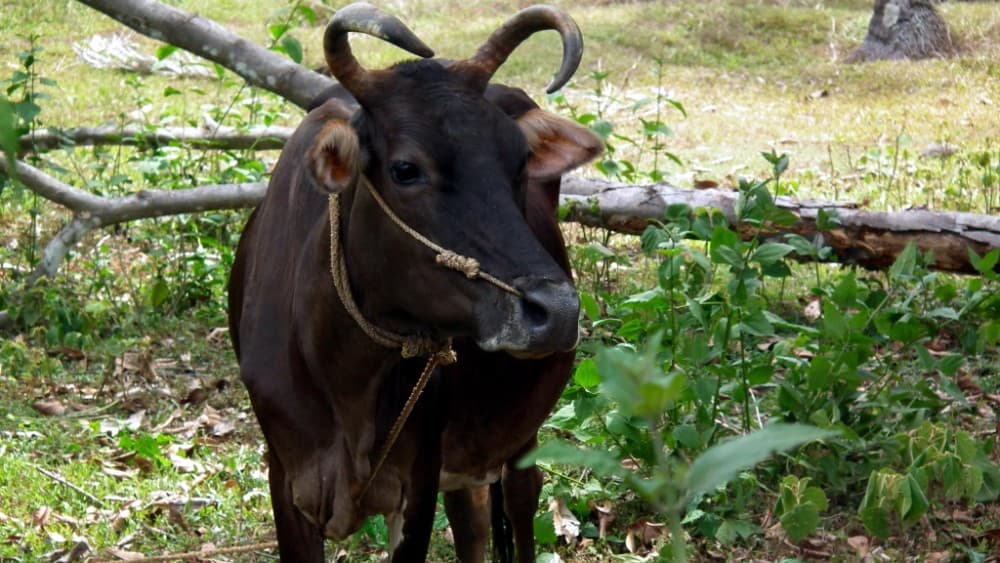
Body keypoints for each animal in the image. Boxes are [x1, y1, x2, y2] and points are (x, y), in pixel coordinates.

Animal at [228, 3, 602, 561]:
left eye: (518, 163)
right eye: (405, 169)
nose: (556, 312)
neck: (339, 369)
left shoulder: (417, 483)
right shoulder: (287, 481)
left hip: (518, 442)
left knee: (518, 501)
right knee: (471, 521)